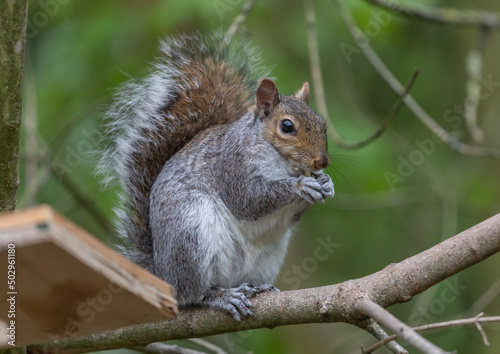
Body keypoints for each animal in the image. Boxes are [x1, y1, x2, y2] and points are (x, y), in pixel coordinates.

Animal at [99, 32, 334, 320]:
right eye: (287, 126)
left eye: (322, 124)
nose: (322, 161)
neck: (283, 162)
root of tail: (164, 276)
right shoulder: (232, 167)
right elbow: (250, 200)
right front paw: (301, 186)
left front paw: (326, 183)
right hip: (191, 233)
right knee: (194, 295)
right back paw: (221, 297)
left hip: (267, 257)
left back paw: (256, 288)